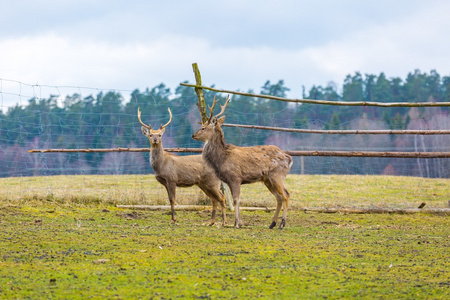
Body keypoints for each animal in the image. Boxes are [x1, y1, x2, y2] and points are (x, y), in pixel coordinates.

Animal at [192, 96, 294, 230]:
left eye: (203, 127)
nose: (193, 135)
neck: (222, 159)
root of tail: (289, 158)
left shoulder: (235, 177)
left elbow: (236, 200)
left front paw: (236, 223)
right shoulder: (229, 180)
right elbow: (236, 199)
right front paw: (239, 222)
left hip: (277, 175)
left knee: (286, 195)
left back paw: (282, 224)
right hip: (267, 179)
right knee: (279, 198)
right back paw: (272, 224)